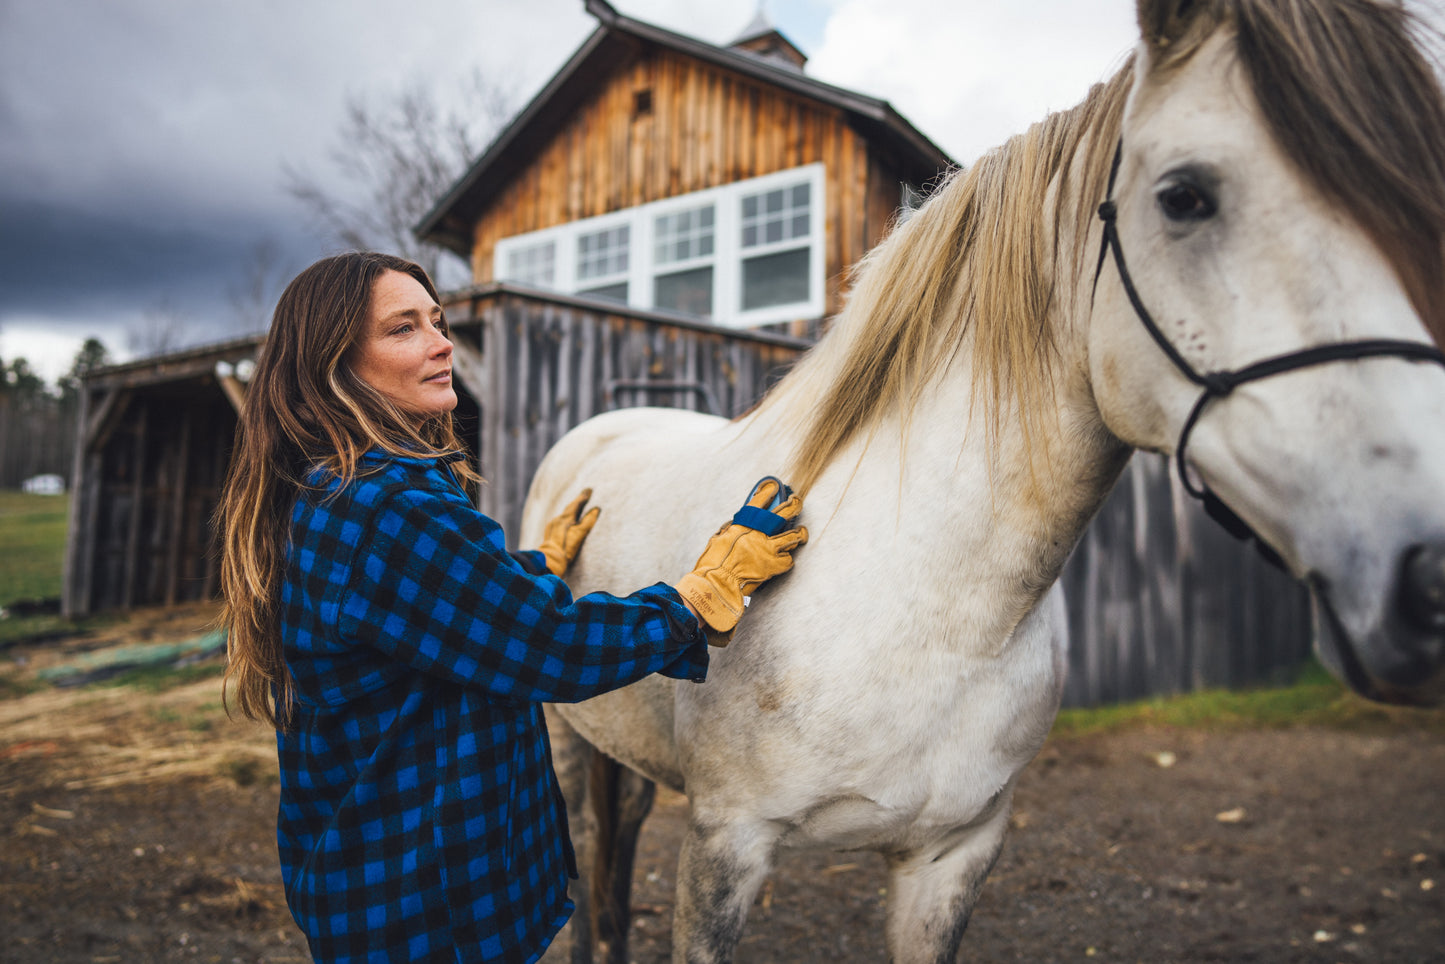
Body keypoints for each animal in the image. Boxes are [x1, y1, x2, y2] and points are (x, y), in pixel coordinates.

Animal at [520, 1, 1445, 960]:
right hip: (560, 735)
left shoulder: (952, 856)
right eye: (1183, 196)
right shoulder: (723, 847)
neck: (923, 603)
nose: (1428, 582)